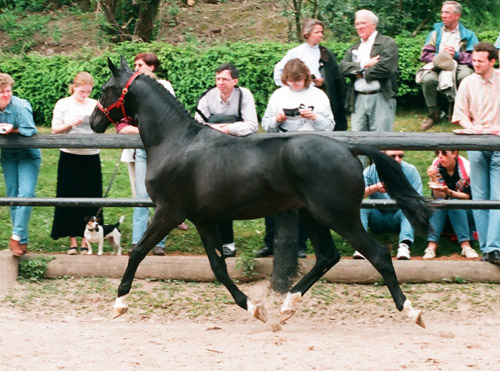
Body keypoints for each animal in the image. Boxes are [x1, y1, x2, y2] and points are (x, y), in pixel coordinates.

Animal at [91, 58, 434, 328]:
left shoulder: (168, 212)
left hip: (340, 216)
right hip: (313, 215)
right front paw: (255, 308)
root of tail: (348, 148)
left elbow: (137, 251)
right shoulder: (202, 219)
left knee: (377, 255)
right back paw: (286, 308)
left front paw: (119, 304)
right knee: (328, 256)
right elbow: (218, 267)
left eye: (106, 89)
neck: (175, 142)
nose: (94, 122)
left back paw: (412, 312)